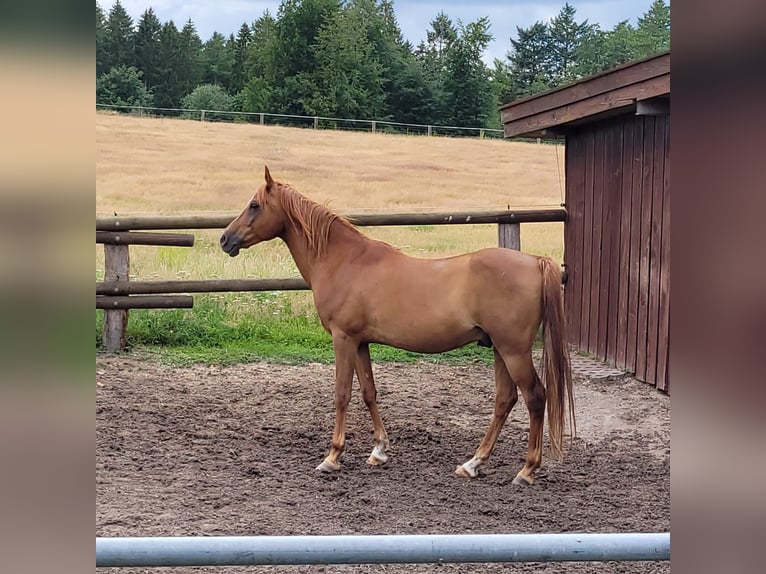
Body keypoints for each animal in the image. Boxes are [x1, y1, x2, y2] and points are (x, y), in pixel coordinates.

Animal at [220, 167, 575, 485]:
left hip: (513, 350)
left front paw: (332, 457)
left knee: (535, 397)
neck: (344, 261)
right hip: (500, 349)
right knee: (505, 400)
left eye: (254, 205)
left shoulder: (343, 339)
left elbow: (341, 394)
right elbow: (369, 392)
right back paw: (473, 464)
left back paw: (526, 471)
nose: (225, 240)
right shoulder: (360, 342)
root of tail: (535, 262)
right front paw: (379, 450)